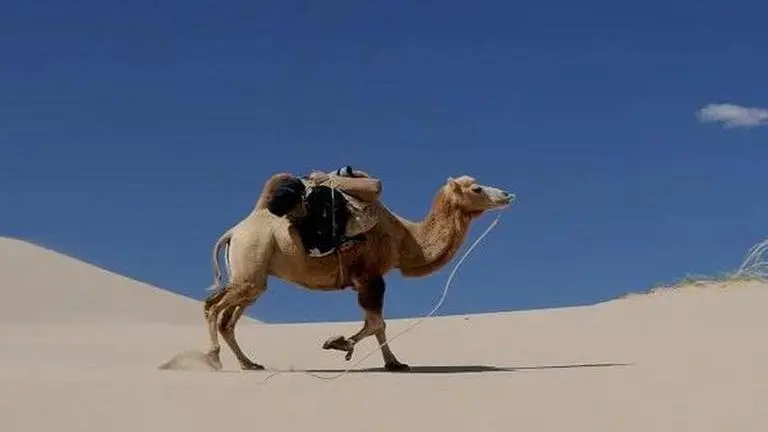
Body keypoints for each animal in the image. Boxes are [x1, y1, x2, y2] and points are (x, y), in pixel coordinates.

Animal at [202, 173, 515, 372]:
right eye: (476, 189)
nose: (507, 194)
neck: (405, 238)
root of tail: (234, 232)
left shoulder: (367, 280)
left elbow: (376, 324)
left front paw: (393, 363)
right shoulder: (370, 276)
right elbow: (377, 323)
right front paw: (340, 344)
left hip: (253, 278)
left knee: (228, 319)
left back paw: (249, 363)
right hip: (251, 262)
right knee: (212, 307)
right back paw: (214, 358)